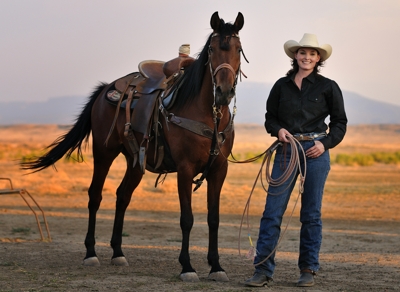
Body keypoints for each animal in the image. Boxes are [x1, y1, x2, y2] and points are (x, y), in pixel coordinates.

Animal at [22, 12, 247, 282]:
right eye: (212, 49)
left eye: (238, 49)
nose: (224, 92)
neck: (206, 114)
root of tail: (107, 88)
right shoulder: (185, 169)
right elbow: (187, 219)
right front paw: (187, 267)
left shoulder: (218, 169)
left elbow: (214, 219)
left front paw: (216, 266)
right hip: (104, 153)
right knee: (95, 196)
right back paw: (91, 253)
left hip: (134, 161)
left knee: (122, 196)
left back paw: (118, 252)